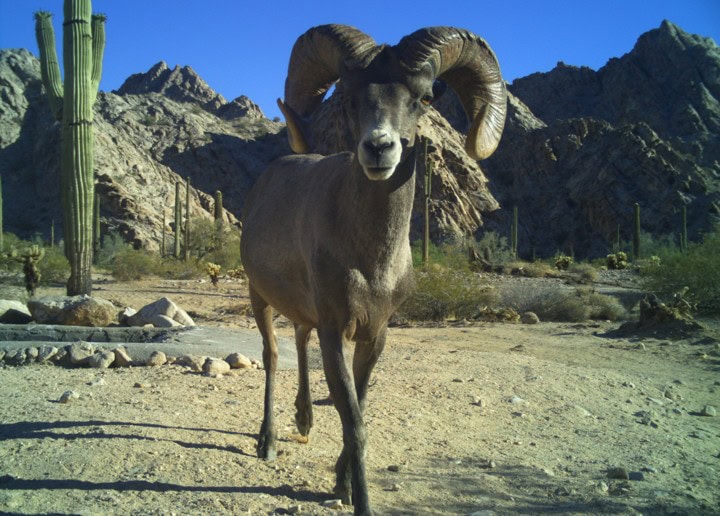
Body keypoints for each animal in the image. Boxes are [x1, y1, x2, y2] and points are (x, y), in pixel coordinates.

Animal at [240, 24, 507, 515]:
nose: (379, 148)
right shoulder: (335, 332)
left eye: (424, 97)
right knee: (271, 355)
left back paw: (304, 421)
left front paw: (342, 485)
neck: (372, 264)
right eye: (348, 97)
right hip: (258, 296)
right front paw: (356, 498)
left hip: (300, 312)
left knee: (298, 340)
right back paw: (268, 442)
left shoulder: (374, 334)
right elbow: (355, 424)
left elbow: (358, 409)